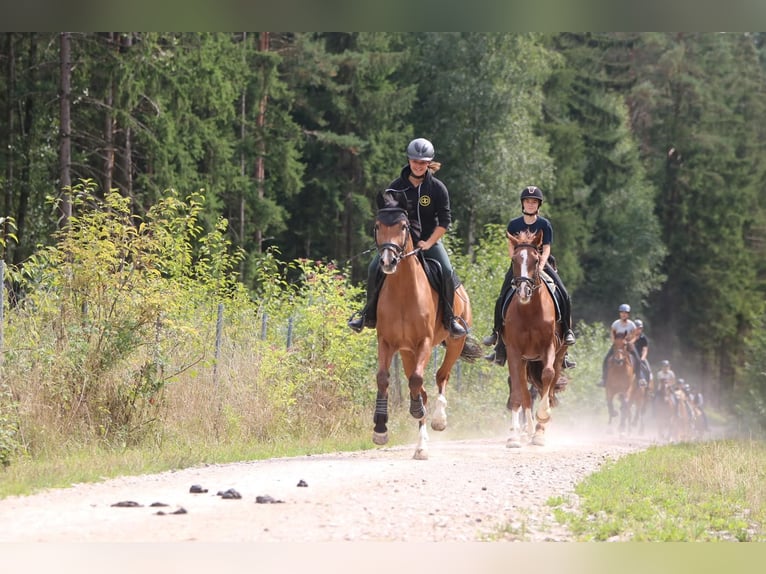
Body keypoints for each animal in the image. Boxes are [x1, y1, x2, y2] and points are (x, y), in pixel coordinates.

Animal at [370, 200, 482, 459]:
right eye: (378, 225)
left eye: (403, 226)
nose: (388, 261)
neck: (403, 291)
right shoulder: (387, 342)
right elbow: (384, 379)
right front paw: (380, 429)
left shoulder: (424, 342)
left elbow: (418, 379)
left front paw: (420, 413)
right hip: (407, 353)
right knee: (421, 388)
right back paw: (421, 445)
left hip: (454, 343)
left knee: (441, 376)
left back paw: (439, 419)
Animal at [503, 229, 569, 448]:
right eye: (514, 259)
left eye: (536, 259)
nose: (524, 291)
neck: (529, 312)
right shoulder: (514, 352)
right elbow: (518, 390)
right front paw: (514, 436)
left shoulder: (548, 348)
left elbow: (547, 376)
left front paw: (542, 417)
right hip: (526, 360)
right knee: (525, 390)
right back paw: (527, 431)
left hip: (557, 355)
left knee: (548, 384)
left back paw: (539, 431)